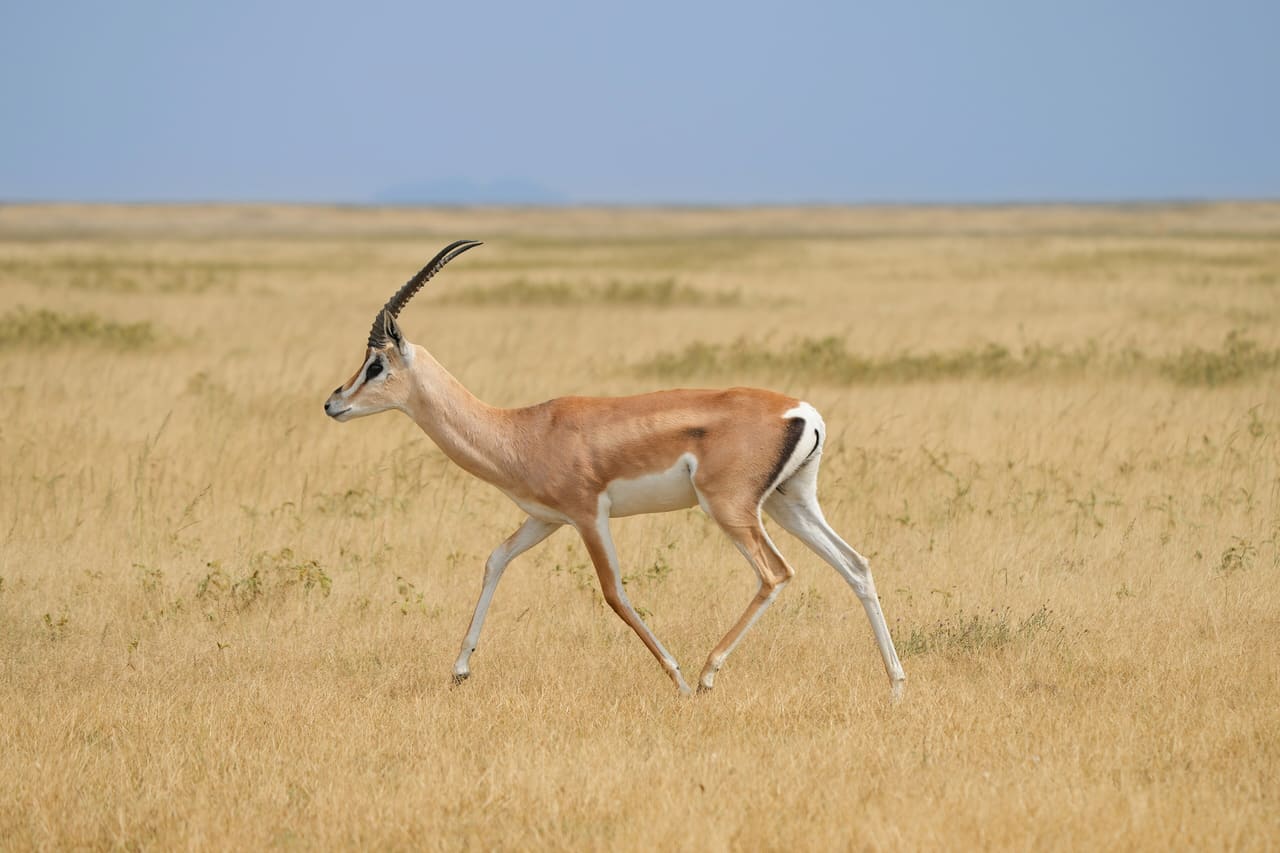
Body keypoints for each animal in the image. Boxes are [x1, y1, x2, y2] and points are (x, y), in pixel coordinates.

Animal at [324, 240, 905, 698]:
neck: (521, 430)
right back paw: (896, 684)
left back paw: (706, 675)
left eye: (376, 364)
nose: (333, 403)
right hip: (791, 504)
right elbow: (495, 560)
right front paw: (460, 669)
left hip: (732, 509)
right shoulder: (544, 519)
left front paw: (676, 678)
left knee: (776, 572)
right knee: (855, 565)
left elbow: (613, 593)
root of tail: (801, 411)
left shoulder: (587, 515)